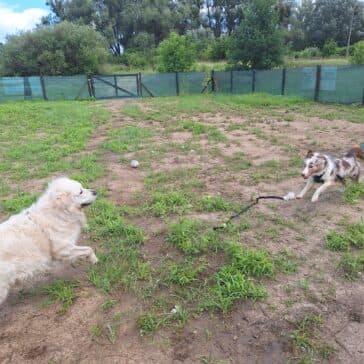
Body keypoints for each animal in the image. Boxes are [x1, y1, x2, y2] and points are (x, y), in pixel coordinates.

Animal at [0, 176, 98, 304]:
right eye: (80, 192)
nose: (95, 192)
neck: (59, 213)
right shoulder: (63, 250)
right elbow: (89, 249)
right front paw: (95, 260)